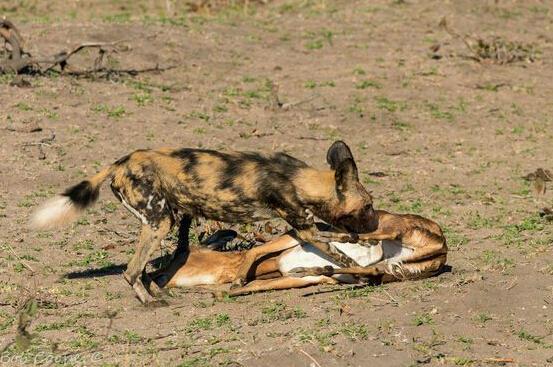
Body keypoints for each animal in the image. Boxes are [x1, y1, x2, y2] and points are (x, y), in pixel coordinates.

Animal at [30, 142, 376, 306]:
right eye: (368, 206)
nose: (374, 225)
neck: (299, 180)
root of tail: (119, 163)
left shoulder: (300, 228)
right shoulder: (306, 230)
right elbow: (341, 250)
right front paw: (365, 263)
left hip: (168, 219)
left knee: (148, 268)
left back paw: (157, 291)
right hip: (160, 223)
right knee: (130, 271)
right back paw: (152, 302)